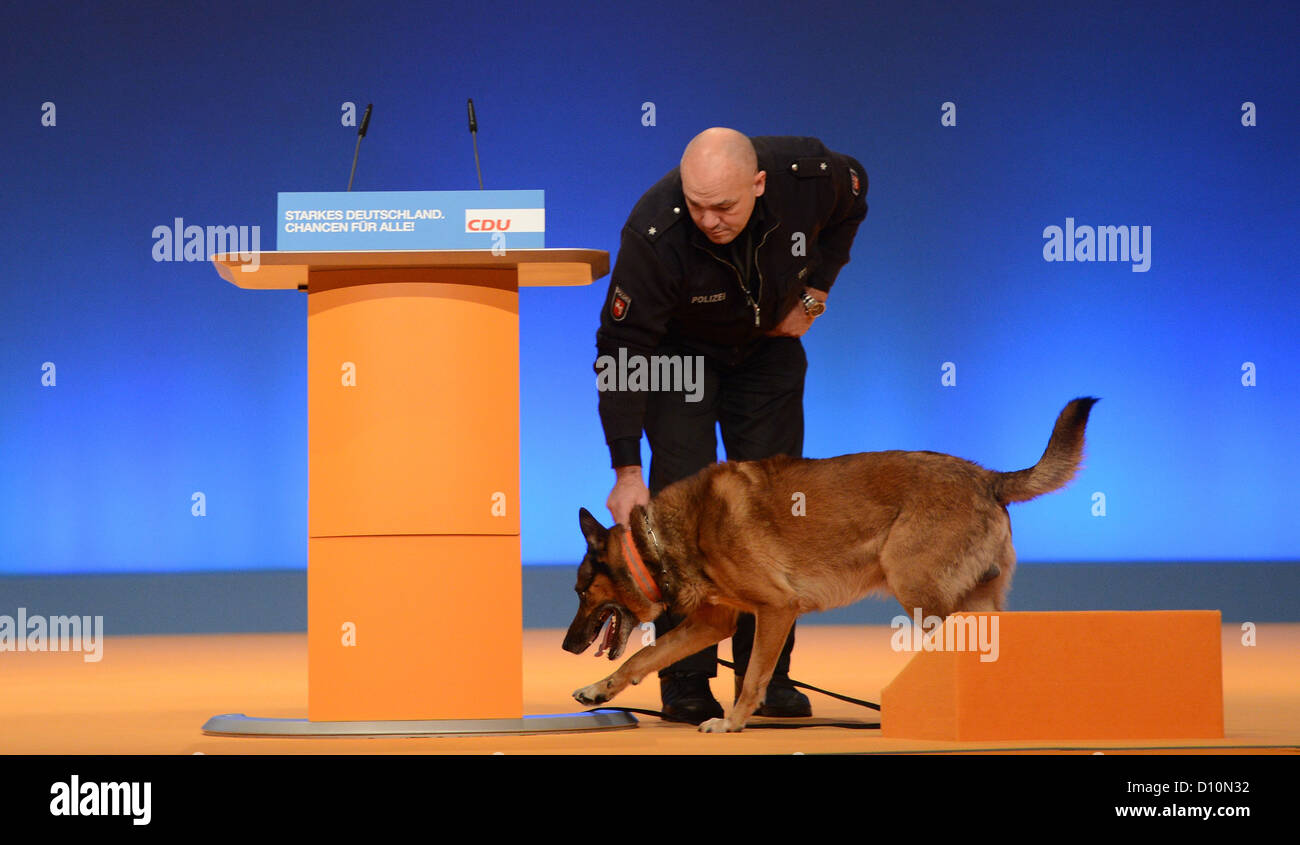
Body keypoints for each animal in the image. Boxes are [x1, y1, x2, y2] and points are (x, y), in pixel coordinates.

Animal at [561, 397, 1097, 728]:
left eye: (582, 593)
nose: (567, 646)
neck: (663, 537)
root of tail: (988, 478)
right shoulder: (713, 623)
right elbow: (642, 657)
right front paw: (599, 690)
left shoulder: (776, 610)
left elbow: (752, 677)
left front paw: (732, 723)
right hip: (967, 603)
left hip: (921, 595)